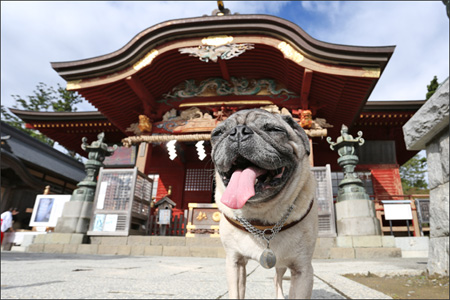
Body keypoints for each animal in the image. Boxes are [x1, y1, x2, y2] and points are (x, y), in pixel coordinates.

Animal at [210, 109, 318, 298]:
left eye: (274, 130)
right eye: (217, 133)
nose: (238, 131)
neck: (261, 218)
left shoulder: (302, 270)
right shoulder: (234, 263)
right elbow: (236, 292)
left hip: (283, 264)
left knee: (277, 278)